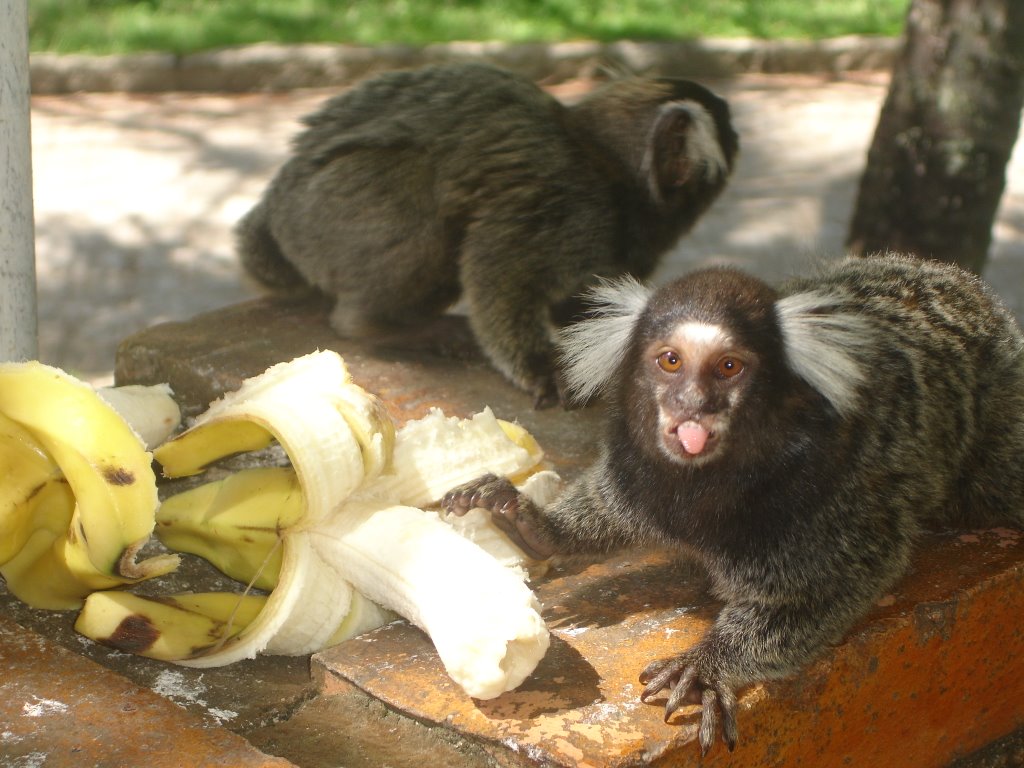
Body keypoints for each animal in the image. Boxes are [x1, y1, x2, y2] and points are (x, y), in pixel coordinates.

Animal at [238, 63, 737, 409]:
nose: (734, 124)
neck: (606, 163)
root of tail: (277, 204)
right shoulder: (573, 204)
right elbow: (499, 270)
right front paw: (543, 368)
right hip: (327, 211)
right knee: (423, 205)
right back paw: (383, 325)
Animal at [444, 253, 1024, 757]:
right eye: (671, 361)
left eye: (728, 367)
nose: (693, 407)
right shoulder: (638, 475)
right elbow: (608, 508)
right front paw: (534, 526)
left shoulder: (835, 494)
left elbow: (823, 589)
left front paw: (709, 663)